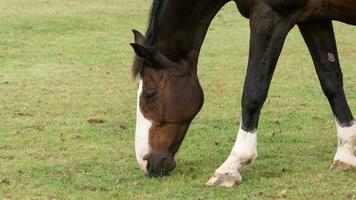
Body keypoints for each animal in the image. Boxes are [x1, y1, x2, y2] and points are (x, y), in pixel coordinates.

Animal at [130, 0, 356, 187]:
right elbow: (330, 80)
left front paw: (231, 165)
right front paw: (344, 154)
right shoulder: (314, 19)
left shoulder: (270, 16)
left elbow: (253, 92)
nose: (145, 162)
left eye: (149, 94)